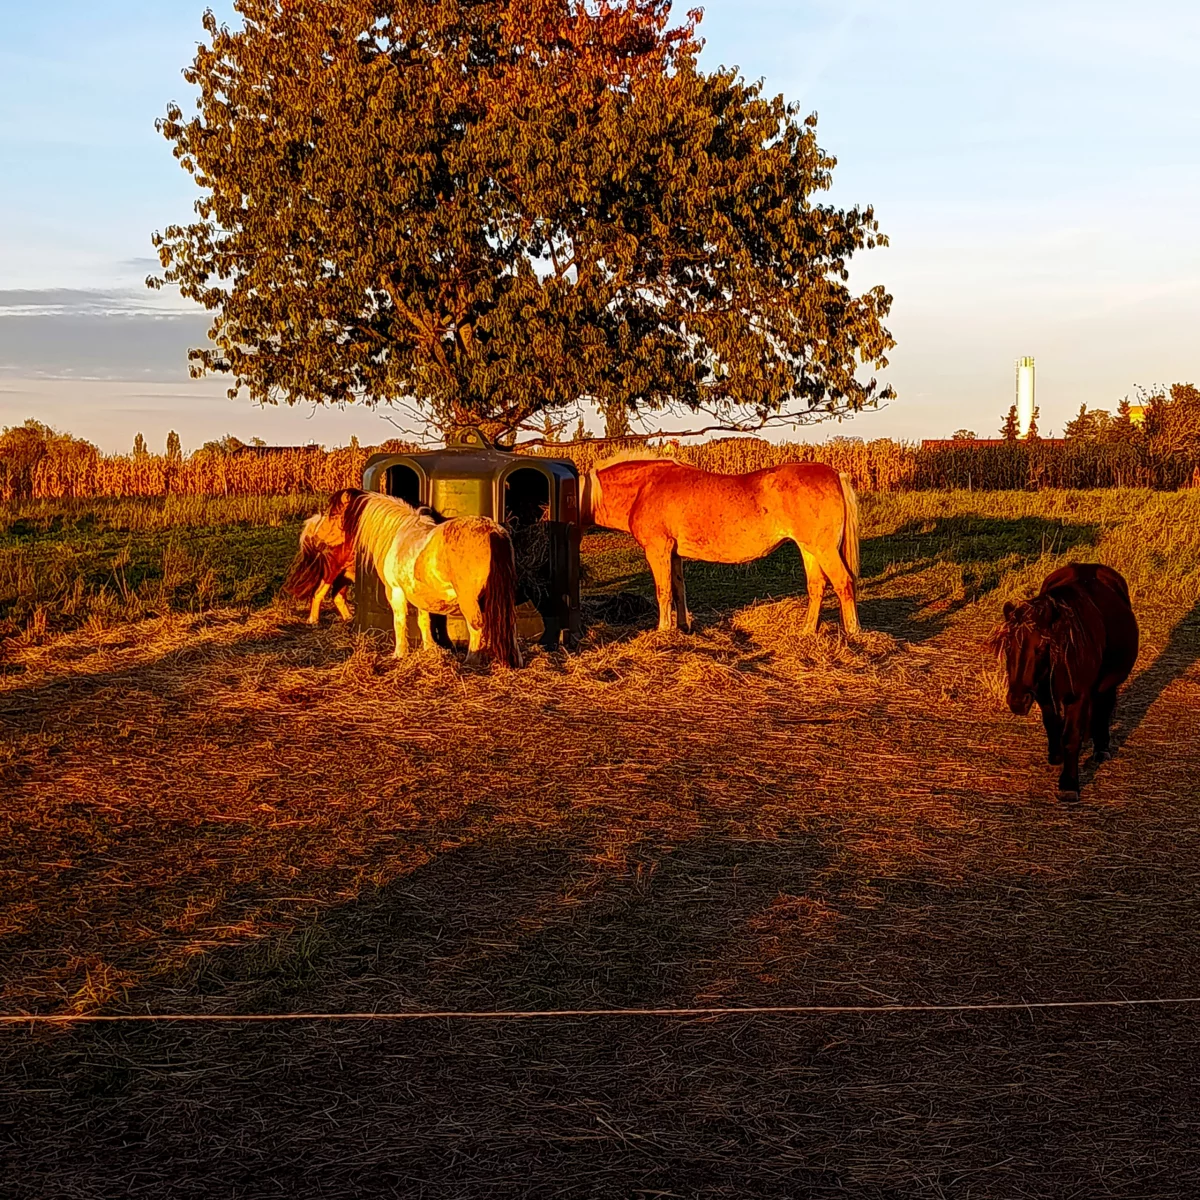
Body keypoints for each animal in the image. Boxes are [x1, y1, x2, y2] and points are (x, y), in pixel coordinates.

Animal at [294, 489, 522, 665]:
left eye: (333, 514)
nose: (316, 538)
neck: (397, 533)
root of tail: (492, 531)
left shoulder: (395, 591)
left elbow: (399, 621)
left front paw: (399, 653)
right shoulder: (420, 593)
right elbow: (424, 621)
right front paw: (429, 649)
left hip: (469, 601)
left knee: (475, 626)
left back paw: (471, 660)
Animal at [580, 454, 861, 635]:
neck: (645, 488)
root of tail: (835, 474)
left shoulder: (657, 550)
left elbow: (663, 591)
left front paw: (662, 630)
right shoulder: (674, 554)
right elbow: (678, 590)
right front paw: (682, 628)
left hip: (823, 549)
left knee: (843, 583)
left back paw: (853, 633)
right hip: (808, 549)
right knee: (817, 586)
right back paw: (806, 631)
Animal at [990, 563, 1138, 801]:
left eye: (1042, 647)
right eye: (1008, 647)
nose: (1017, 702)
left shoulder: (1077, 696)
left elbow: (1071, 736)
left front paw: (1069, 785)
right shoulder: (1043, 694)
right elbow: (1051, 723)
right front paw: (1055, 755)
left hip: (1107, 684)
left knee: (1103, 707)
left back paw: (1101, 749)